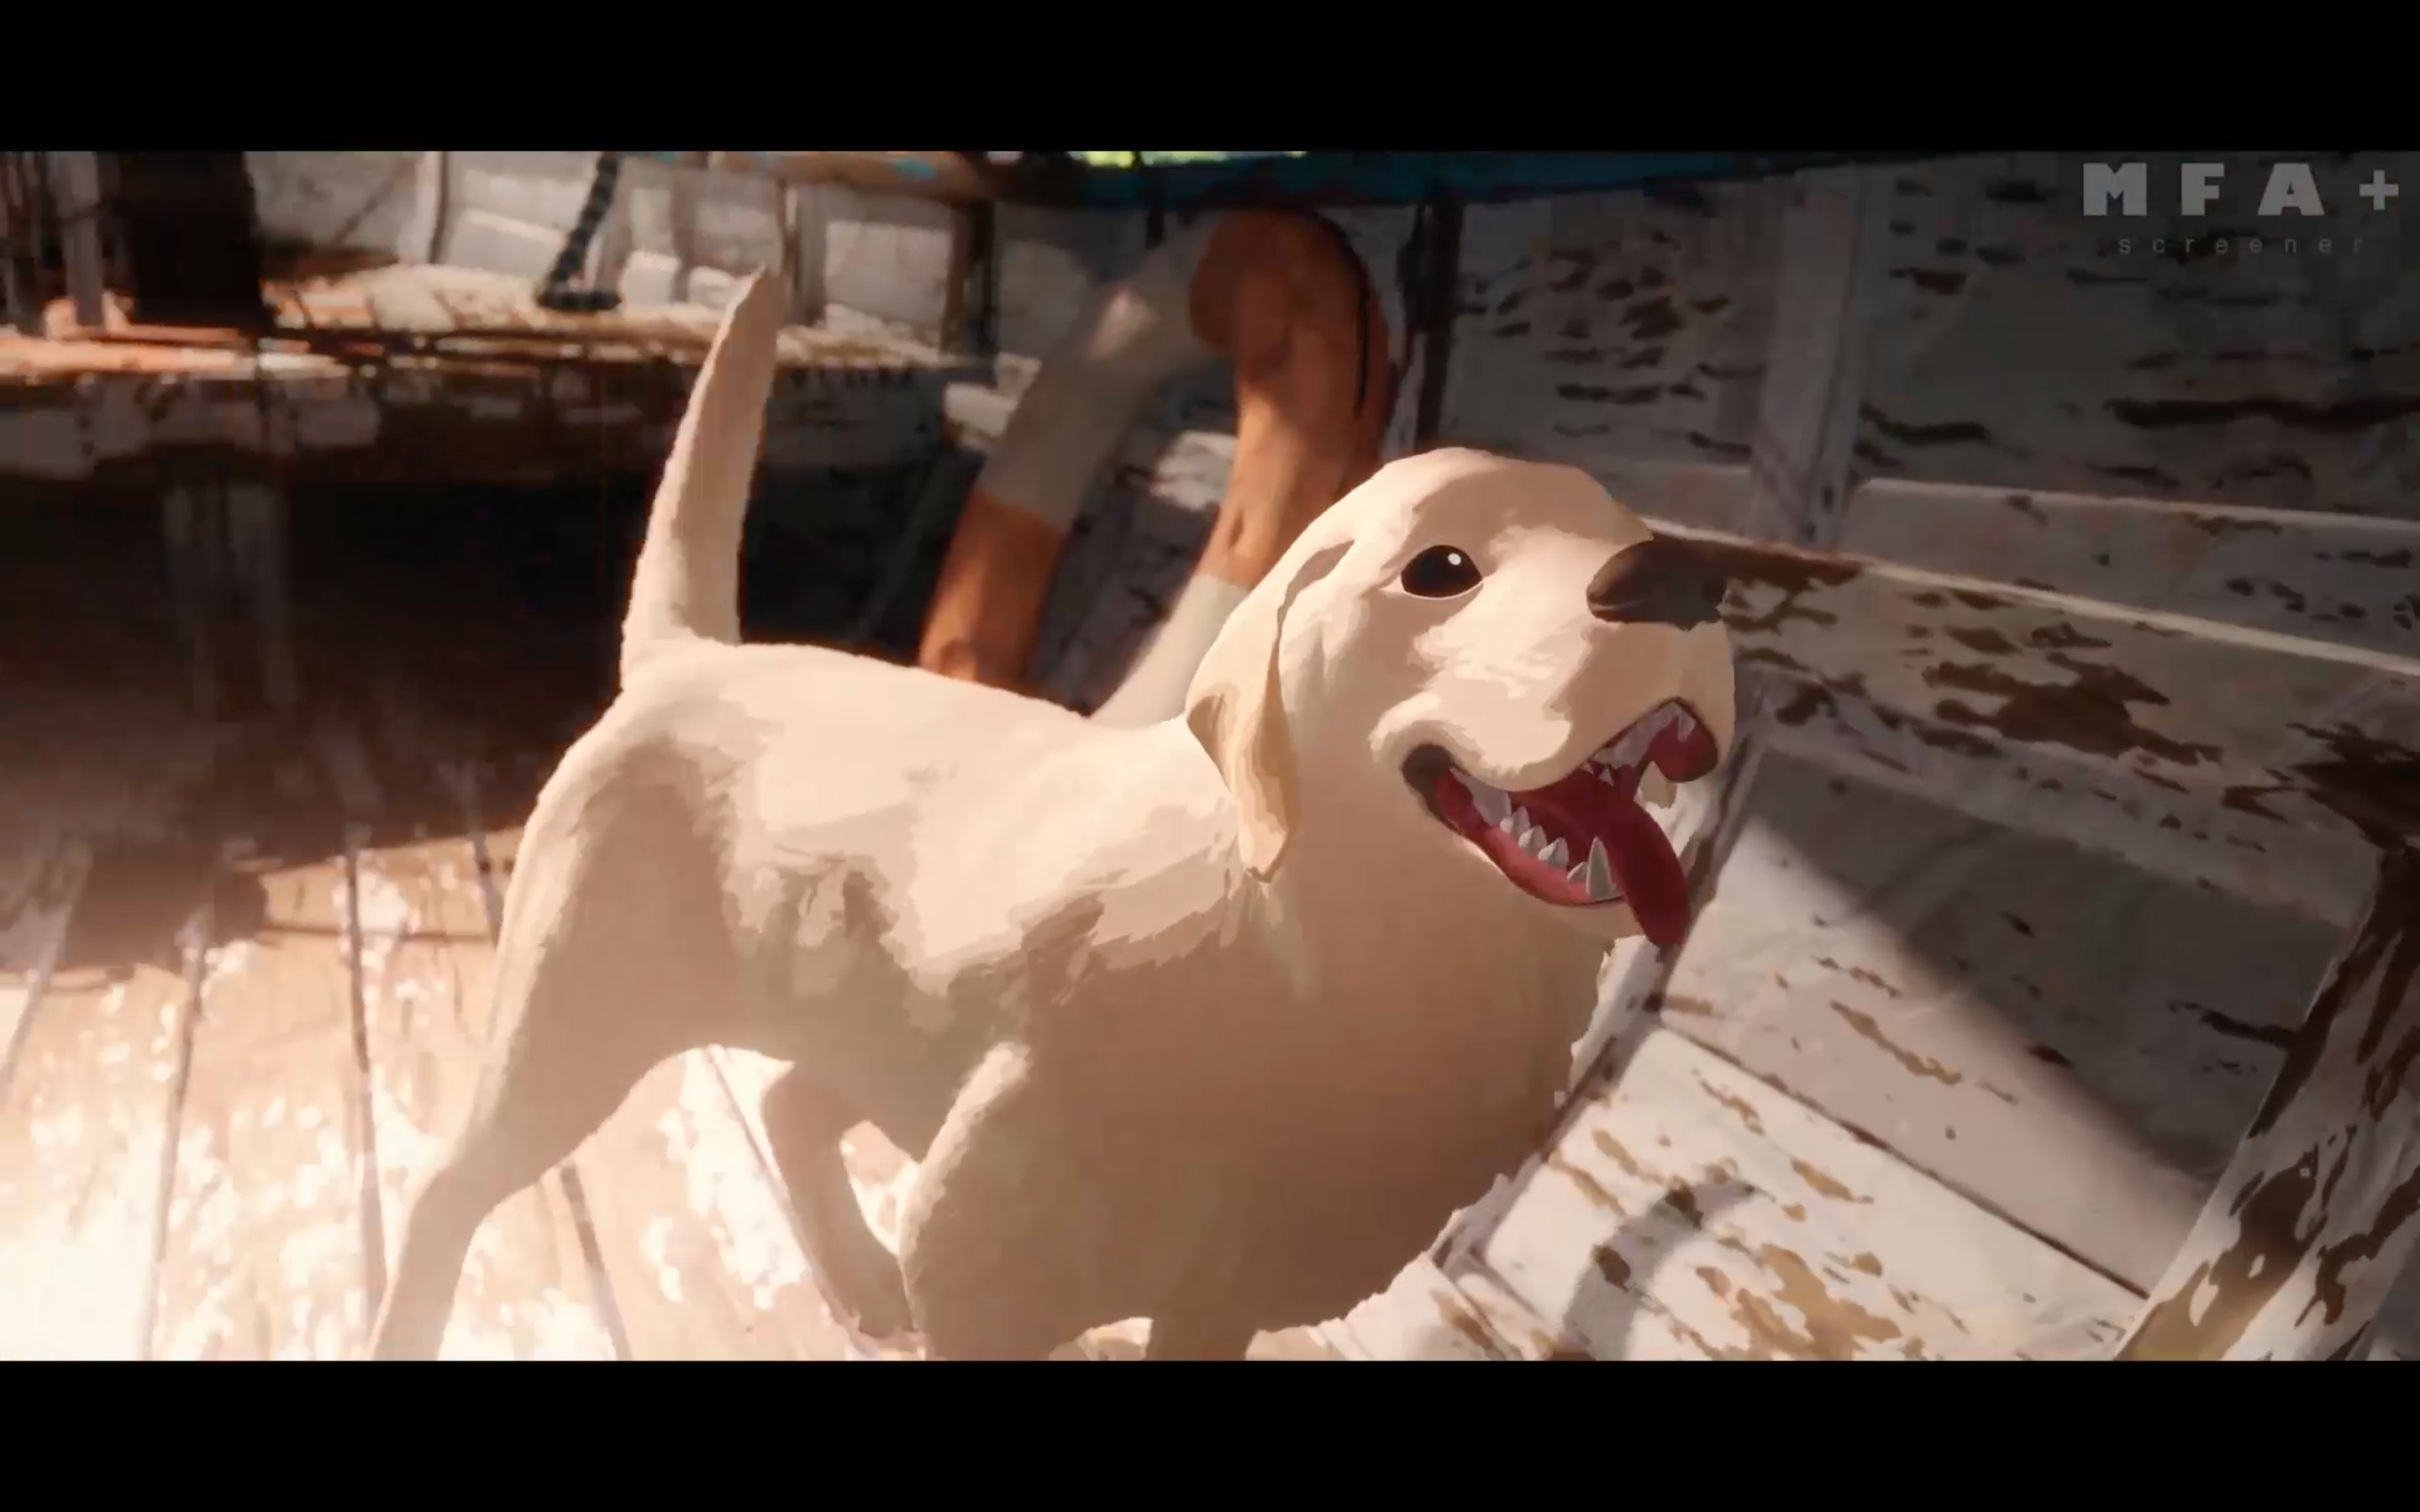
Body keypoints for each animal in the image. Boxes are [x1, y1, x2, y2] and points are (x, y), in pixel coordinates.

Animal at [367, 268, 1742, 1354]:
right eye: (1441, 568)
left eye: (1624, 530)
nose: (1684, 578)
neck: (1327, 957)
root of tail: (689, 656)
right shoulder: (986, 1258)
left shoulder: (1216, 1298)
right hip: (575, 1024)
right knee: (447, 1186)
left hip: (884, 1014)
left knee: (792, 1100)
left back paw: (859, 1277)